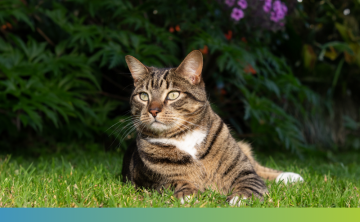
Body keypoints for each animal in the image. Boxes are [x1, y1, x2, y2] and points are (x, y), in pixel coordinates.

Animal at [121, 50, 304, 206]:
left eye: (173, 94)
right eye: (143, 96)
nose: (153, 110)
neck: (183, 136)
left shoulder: (243, 171)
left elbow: (251, 182)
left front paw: (239, 199)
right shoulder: (156, 181)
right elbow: (176, 182)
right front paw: (187, 194)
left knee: (257, 167)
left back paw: (291, 176)